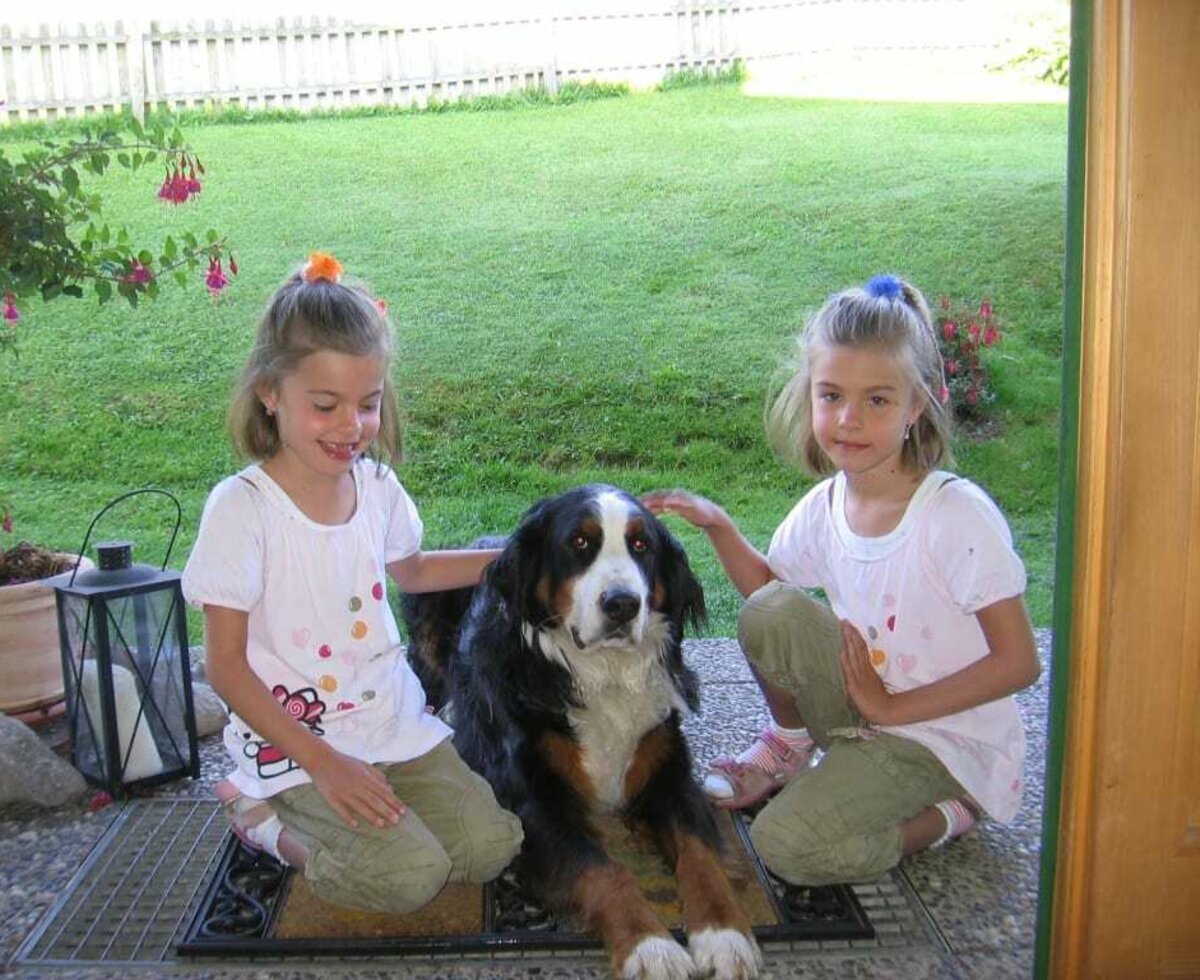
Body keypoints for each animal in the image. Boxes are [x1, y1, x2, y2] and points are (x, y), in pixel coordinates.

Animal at [403, 484, 758, 978]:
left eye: (641, 545)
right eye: (579, 542)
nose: (623, 604)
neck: (605, 673)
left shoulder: (668, 771)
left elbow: (700, 853)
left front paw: (725, 934)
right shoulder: (536, 799)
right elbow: (604, 870)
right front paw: (651, 948)